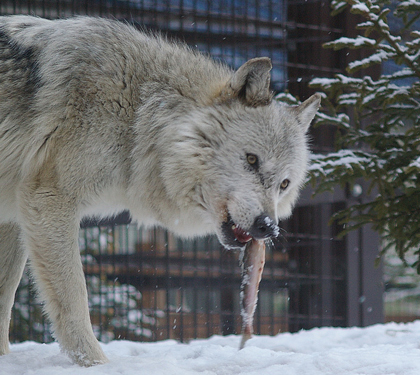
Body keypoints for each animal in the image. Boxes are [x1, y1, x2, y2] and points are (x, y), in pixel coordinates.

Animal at [0, 15, 320, 368]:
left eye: (285, 184)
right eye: (251, 160)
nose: (268, 227)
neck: (139, 113)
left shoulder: (13, 216)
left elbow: (4, 298)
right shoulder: (50, 201)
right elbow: (75, 298)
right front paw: (97, 365)